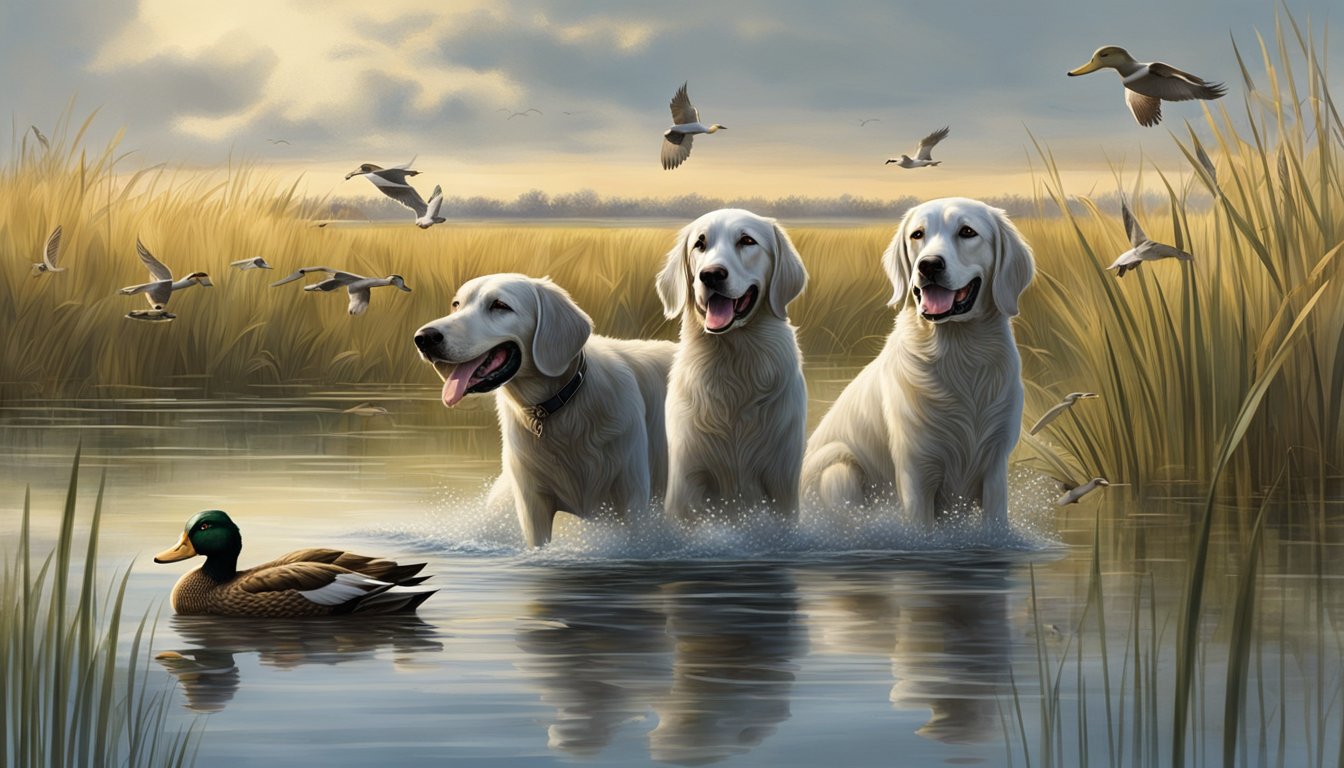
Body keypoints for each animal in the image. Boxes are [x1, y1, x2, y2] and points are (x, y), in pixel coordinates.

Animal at [413, 271, 677, 546]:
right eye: (456, 305)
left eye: (500, 305)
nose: (423, 338)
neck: (557, 409)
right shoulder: (531, 504)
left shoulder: (631, 501)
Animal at [653, 209, 801, 521]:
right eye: (699, 244)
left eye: (747, 241)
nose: (710, 275)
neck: (733, 359)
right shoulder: (687, 483)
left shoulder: (781, 481)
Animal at [801, 197, 1032, 529]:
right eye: (917, 235)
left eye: (967, 232)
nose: (929, 265)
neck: (958, 354)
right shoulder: (916, 472)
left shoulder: (995, 469)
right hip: (838, 468)